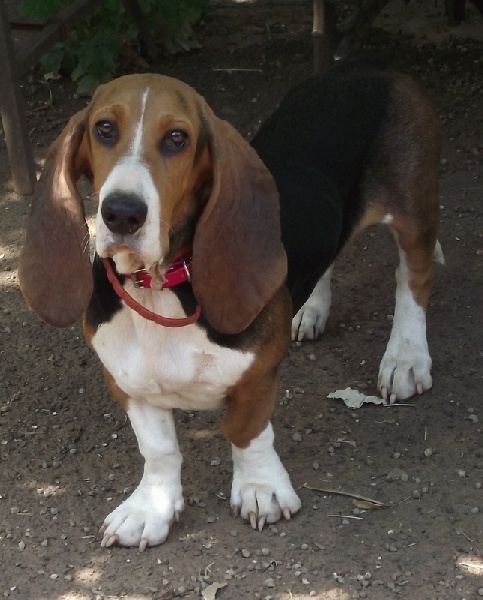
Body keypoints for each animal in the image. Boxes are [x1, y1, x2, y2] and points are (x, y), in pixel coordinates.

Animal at [19, 62, 442, 550]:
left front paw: (260, 489)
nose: (122, 212)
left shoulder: (257, 375)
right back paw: (311, 310)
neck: (158, 286)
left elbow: (245, 431)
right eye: (104, 128)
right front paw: (151, 508)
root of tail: (366, 70)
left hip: (413, 211)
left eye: (177, 138)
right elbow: (158, 449)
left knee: (412, 282)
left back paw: (406, 359)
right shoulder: (126, 381)